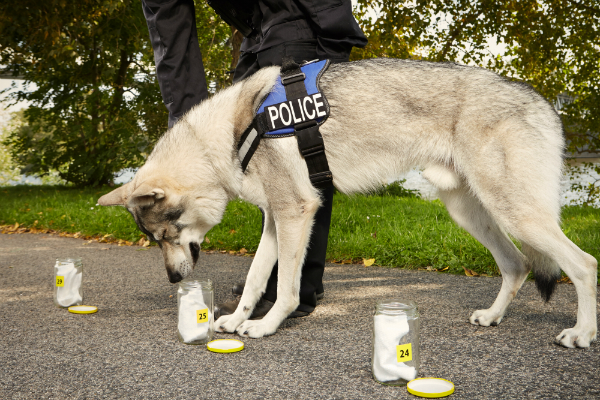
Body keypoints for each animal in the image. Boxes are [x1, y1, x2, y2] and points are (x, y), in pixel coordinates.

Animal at [98, 58, 596, 346]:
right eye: (154, 239)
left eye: (167, 233)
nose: (172, 278)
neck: (234, 132)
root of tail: (545, 103)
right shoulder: (276, 220)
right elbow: (258, 278)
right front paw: (236, 318)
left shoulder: (296, 213)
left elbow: (287, 288)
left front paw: (263, 326)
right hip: (471, 214)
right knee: (516, 264)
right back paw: (493, 317)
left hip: (515, 212)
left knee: (583, 264)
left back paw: (581, 333)